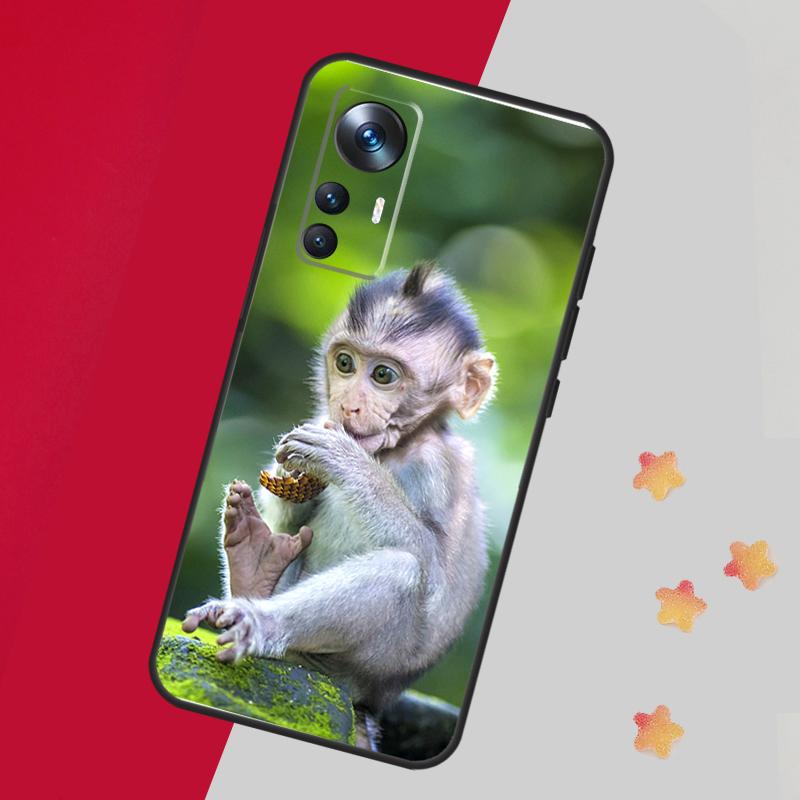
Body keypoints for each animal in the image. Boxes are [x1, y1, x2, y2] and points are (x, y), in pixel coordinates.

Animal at [182, 263, 496, 736]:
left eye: (383, 375)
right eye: (345, 363)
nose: (347, 406)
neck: (394, 450)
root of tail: (368, 697)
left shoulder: (443, 469)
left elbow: (438, 578)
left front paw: (343, 460)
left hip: (377, 660)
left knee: (401, 570)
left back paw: (260, 619)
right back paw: (253, 564)